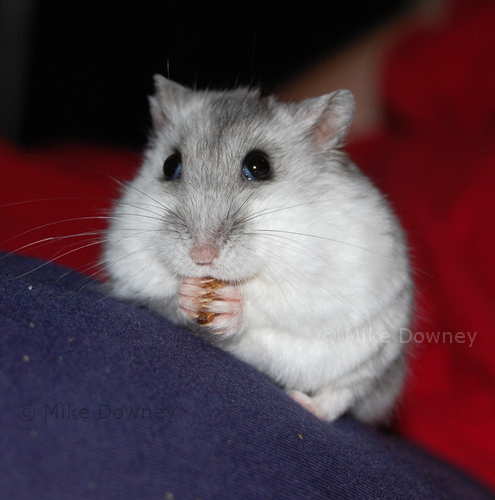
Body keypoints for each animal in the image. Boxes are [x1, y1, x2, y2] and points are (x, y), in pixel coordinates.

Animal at [102, 76, 412, 424]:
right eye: (170, 165)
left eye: (259, 165)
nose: (201, 257)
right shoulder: (128, 263)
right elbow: (161, 293)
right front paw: (189, 294)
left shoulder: (321, 283)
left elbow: (268, 302)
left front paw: (230, 304)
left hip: (372, 359)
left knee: (340, 395)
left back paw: (304, 404)